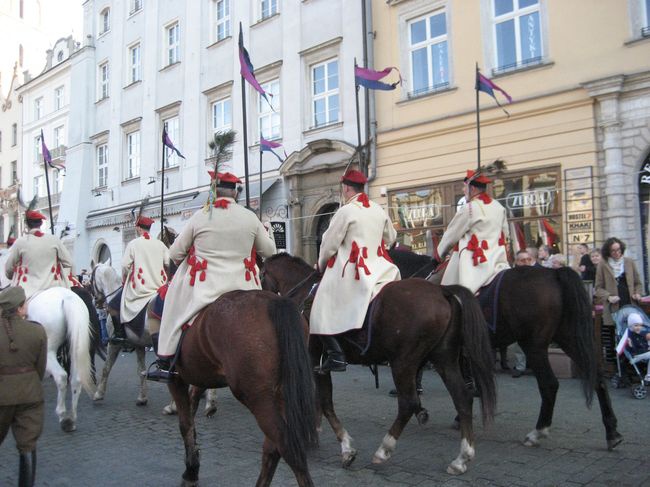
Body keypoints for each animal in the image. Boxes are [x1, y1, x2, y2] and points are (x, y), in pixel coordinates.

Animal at [27, 288, 95, 432]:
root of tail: (67, 297)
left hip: (48, 351)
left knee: (61, 376)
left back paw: (63, 416)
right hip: (75, 347)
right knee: (75, 379)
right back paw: (71, 419)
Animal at [89, 264, 218, 416]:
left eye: (90, 279)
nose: (95, 302)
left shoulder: (114, 343)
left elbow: (106, 368)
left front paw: (98, 394)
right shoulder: (139, 345)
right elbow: (141, 371)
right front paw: (142, 398)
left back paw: (174, 406)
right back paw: (209, 404)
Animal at [165, 292, 316, 486]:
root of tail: (275, 301)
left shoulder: (176, 379)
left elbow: (185, 425)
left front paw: (191, 472)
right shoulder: (199, 378)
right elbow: (192, 414)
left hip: (258, 398)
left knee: (287, 446)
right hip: (281, 395)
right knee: (272, 448)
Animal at [260, 254, 494, 474]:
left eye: (261, 276)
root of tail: (442, 291)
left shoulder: (314, 364)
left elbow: (324, 403)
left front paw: (344, 448)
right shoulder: (316, 367)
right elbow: (321, 402)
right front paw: (317, 435)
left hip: (403, 362)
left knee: (408, 403)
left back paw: (384, 449)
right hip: (443, 359)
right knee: (462, 398)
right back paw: (461, 459)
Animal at [384, 250, 624, 452]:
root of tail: (554, 273)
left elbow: (426, 373)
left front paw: (423, 410)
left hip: (534, 345)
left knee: (550, 384)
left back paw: (537, 432)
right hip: (567, 337)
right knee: (597, 377)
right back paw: (612, 433)